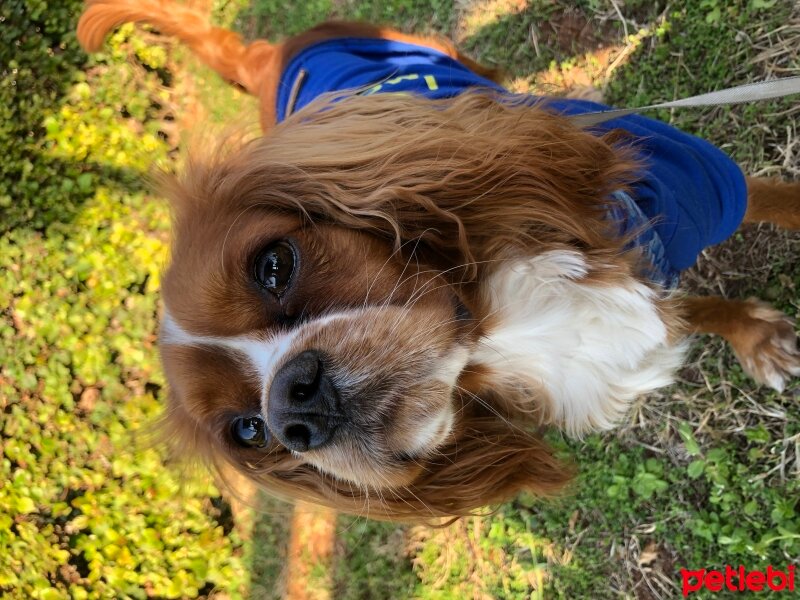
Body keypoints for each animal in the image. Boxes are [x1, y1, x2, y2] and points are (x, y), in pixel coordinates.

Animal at [75, 0, 800, 516]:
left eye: (274, 264)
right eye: (250, 432)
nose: (293, 410)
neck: (494, 322)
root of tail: (267, 59)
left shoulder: (699, 181)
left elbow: (773, 204)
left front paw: (755, 334)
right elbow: (688, 308)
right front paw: (754, 335)